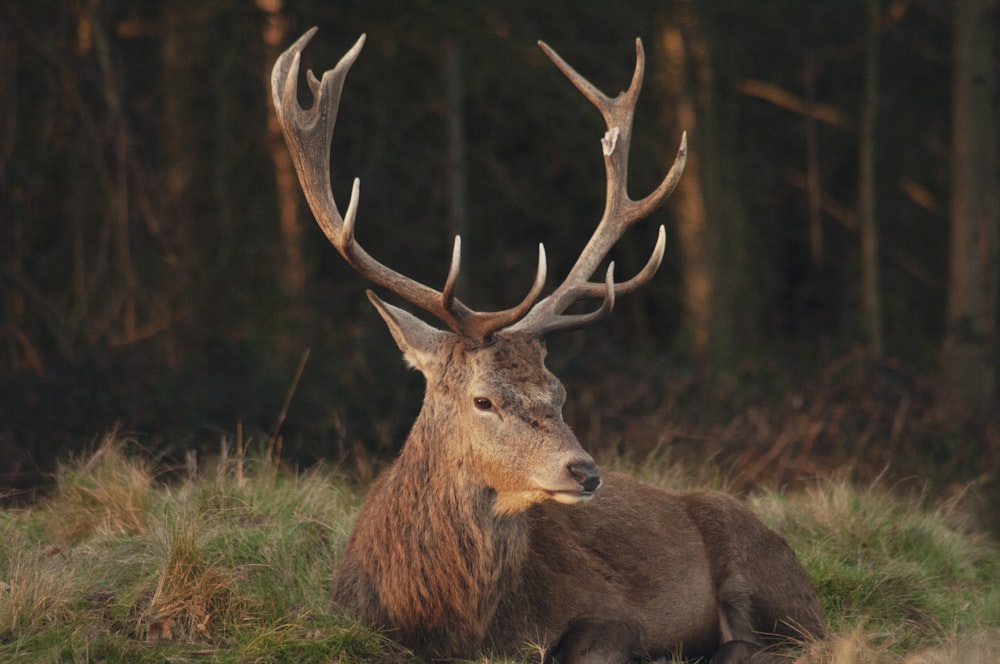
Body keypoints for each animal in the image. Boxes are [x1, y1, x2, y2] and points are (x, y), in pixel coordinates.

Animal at [270, 27, 824, 664]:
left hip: (770, 574)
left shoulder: (614, 615)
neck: (451, 622)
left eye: (558, 393)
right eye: (483, 399)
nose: (585, 471)